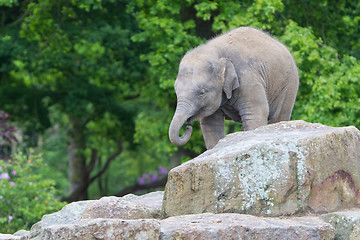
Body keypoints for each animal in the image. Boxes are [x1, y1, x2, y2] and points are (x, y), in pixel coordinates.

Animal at [169, 27, 298, 149]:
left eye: (202, 92)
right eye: (176, 91)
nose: (188, 126)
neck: (217, 52)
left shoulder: (248, 78)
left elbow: (255, 113)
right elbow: (211, 124)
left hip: (289, 85)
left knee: (279, 116)